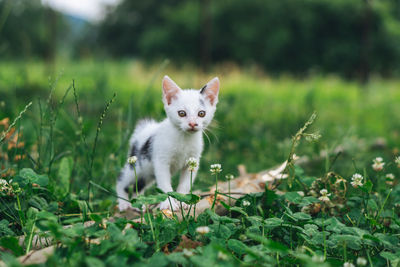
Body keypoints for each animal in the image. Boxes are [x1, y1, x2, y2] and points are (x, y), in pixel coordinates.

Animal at [117, 75, 220, 211]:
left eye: (201, 113)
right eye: (182, 113)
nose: (192, 124)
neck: (184, 139)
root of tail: (145, 128)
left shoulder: (193, 161)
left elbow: (185, 184)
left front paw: (183, 201)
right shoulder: (161, 162)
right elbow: (165, 185)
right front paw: (168, 203)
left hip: (148, 174)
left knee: (137, 186)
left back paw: (139, 204)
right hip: (136, 166)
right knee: (121, 180)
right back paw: (123, 203)